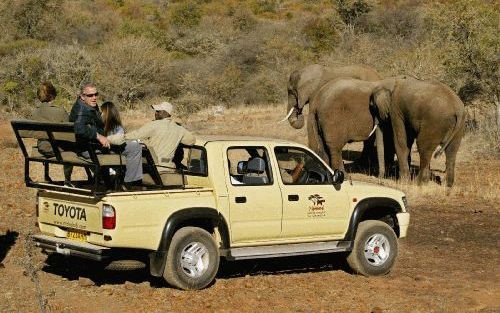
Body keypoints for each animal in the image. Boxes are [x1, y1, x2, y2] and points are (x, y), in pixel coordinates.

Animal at [308, 76, 464, 186]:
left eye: (373, 107)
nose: (380, 179)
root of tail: (316, 100)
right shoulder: (396, 111)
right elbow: (398, 141)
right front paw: (399, 177)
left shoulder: (396, 110)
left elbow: (399, 141)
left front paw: (400, 178)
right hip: (330, 119)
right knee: (332, 147)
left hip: (440, 122)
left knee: (439, 150)